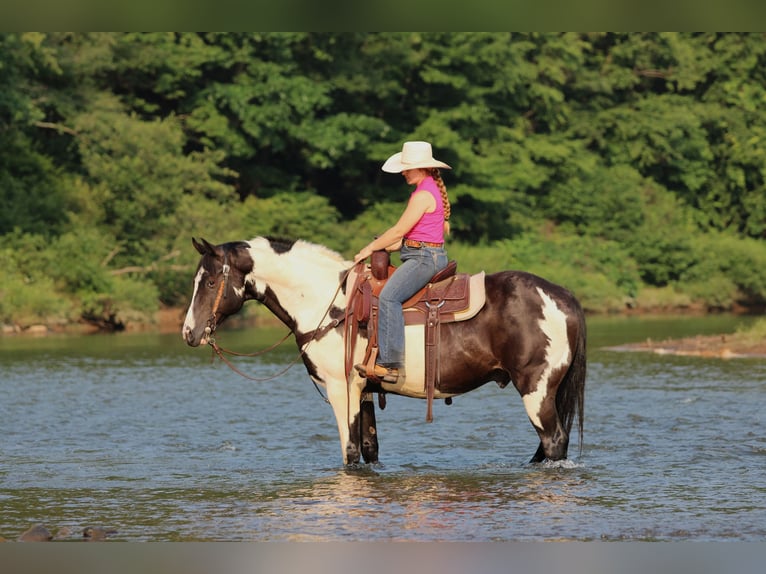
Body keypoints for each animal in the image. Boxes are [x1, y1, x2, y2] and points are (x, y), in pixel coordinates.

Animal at [182, 236, 586, 466]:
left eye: (212, 281)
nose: (189, 332)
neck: (330, 303)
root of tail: (562, 294)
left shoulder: (341, 389)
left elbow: (349, 453)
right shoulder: (363, 392)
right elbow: (369, 449)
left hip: (536, 389)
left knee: (553, 441)